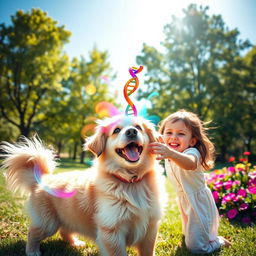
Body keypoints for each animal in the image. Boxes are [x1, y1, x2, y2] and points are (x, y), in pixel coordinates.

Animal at [1, 115, 166, 256]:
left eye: (138, 127)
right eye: (116, 130)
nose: (132, 131)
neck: (131, 181)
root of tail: (42, 179)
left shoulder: (150, 228)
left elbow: (148, 251)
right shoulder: (111, 231)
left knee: (64, 231)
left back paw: (75, 243)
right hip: (47, 223)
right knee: (32, 233)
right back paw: (32, 251)